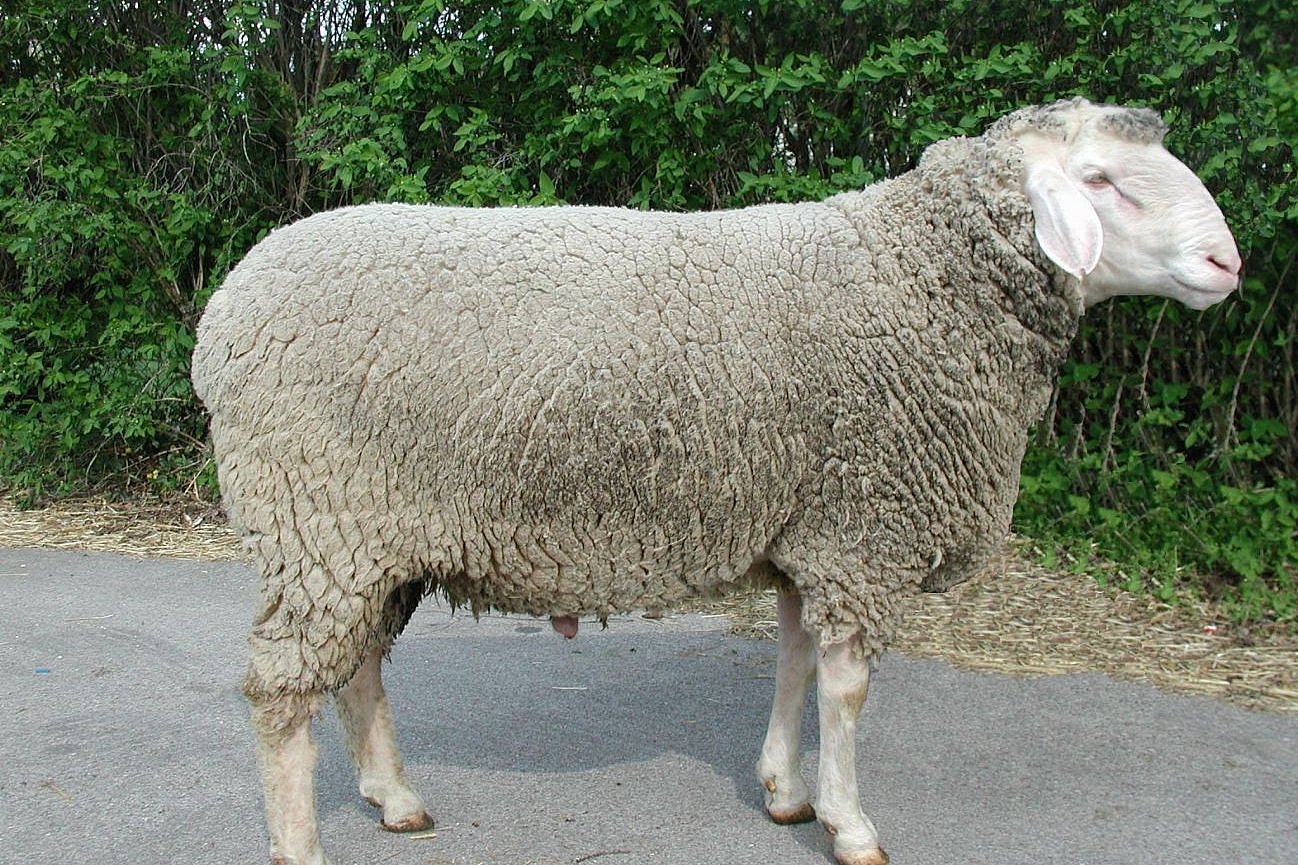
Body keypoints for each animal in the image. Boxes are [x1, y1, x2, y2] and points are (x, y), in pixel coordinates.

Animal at [189, 96, 1235, 862]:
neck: (921, 281)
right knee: (281, 691)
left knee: (359, 664)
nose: (1228, 261)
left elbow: (795, 663)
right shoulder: (863, 527)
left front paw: (784, 791)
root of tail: (225, 311)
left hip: (364, 538)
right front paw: (852, 825)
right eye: (1099, 180)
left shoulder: (810, 525)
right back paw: (302, 844)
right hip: (317, 514)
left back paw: (396, 797)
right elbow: (848, 690)